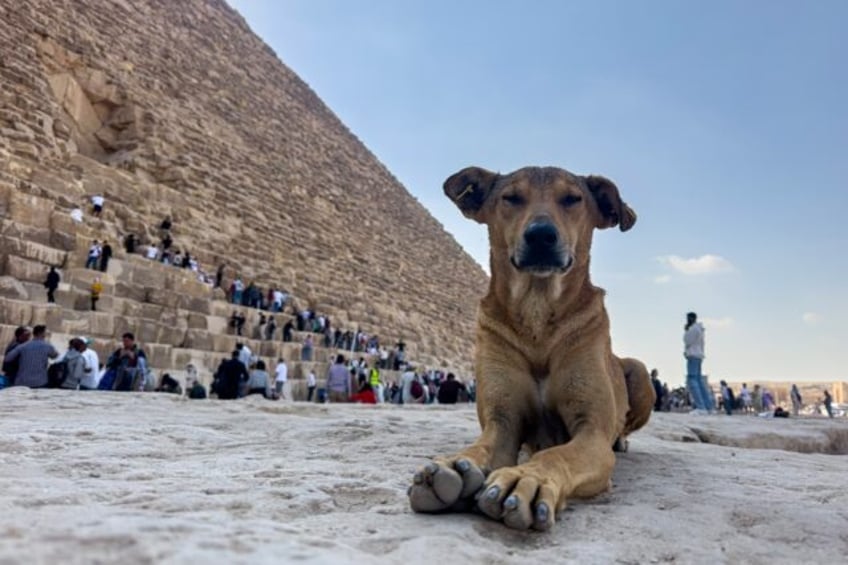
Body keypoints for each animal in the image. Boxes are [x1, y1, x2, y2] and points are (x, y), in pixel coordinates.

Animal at [410, 165, 656, 528]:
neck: (537, 315)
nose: (541, 235)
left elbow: (557, 454)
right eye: (511, 198)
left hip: (639, 371)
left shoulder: (592, 432)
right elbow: (482, 447)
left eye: (572, 198)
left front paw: (527, 478)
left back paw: (621, 440)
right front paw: (455, 464)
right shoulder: (503, 422)